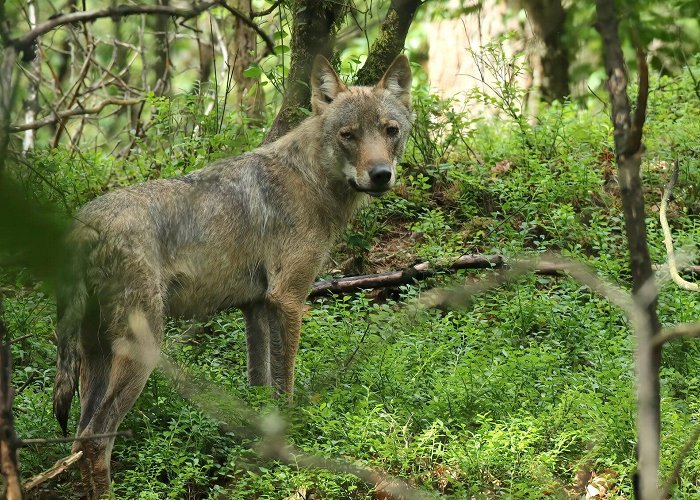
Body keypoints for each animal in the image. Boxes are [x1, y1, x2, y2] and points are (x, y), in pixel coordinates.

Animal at [54, 54, 416, 496]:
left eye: (390, 130)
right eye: (348, 135)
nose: (381, 174)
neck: (309, 179)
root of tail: (82, 224)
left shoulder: (255, 307)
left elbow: (260, 389)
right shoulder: (288, 299)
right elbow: (285, 384)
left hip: (96, 357)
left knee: (77, 439)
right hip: (142, 350)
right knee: (95, 438)